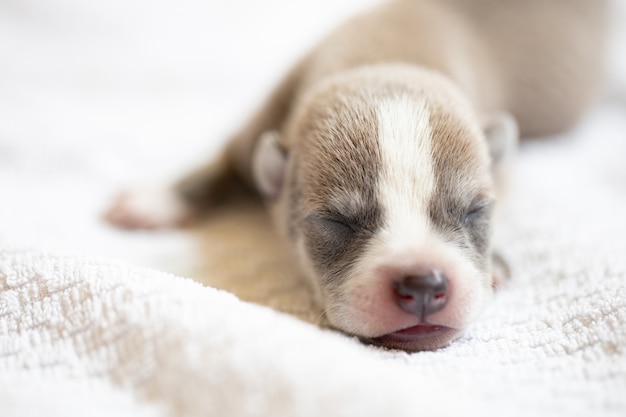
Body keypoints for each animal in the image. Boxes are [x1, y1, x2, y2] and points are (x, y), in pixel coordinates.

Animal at [106, 0, 604, 352]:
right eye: (336, 221)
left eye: (474, 211)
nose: (423, 285)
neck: (383, 59)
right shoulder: (265, 119)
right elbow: (223, 161)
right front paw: (158, 199)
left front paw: (496, 258)